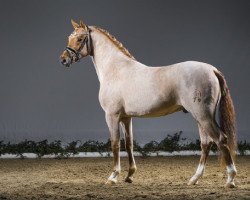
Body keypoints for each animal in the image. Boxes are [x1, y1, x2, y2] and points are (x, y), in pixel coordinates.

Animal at [59, 19, 237, 187]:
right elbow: (129, 144)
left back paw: (230, 179)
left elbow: (115, 144)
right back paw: (194, 179)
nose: (63, 59)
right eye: (69, 37)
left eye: (80, 38)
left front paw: (113, 177)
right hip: (200, 117)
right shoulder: (126, 117)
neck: (115, 70)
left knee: (220, 139)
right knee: (206, 144)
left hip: (203, 115)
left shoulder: (112, 115)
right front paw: (129, 175)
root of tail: (212, 70)